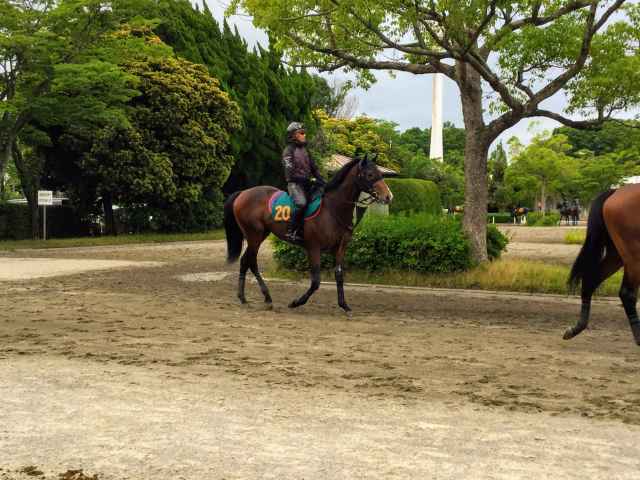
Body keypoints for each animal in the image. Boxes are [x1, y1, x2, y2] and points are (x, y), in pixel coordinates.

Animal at [225, 154, 396, 312]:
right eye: (370, 175)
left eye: (380, 174)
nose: (388, 196)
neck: (333, 209)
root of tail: (243, 193)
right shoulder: (314, 248)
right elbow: (316, 281)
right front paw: (296, 302)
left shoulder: (340, 249)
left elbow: (339, 275)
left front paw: (344, 305)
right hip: (254, 235)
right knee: (250, 262)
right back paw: (261, 298)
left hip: (260, 235)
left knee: (246, 261)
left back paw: (247, 297)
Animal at [564, 184, 640, 344]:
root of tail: (616, 191)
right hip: (634, 256)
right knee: (627, 294)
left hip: (618, 256)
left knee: (590, 281)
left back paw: (576, 328)